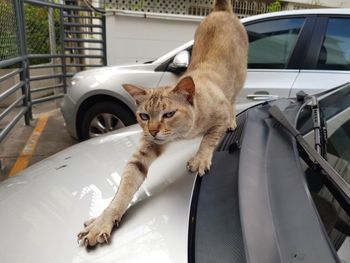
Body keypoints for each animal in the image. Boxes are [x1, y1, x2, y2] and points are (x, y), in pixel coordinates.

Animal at [78, 0, 249, 248]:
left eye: (168, 114)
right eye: (144, 116)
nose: (153, 130)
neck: (184, 133)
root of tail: (221, 11)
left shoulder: (218, 115)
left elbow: (209, 138)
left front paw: (200, 158)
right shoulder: (145, 150)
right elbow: (125, 186)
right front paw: (104, 220)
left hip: (240, 76)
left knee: (234, 99)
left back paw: (232, 121)